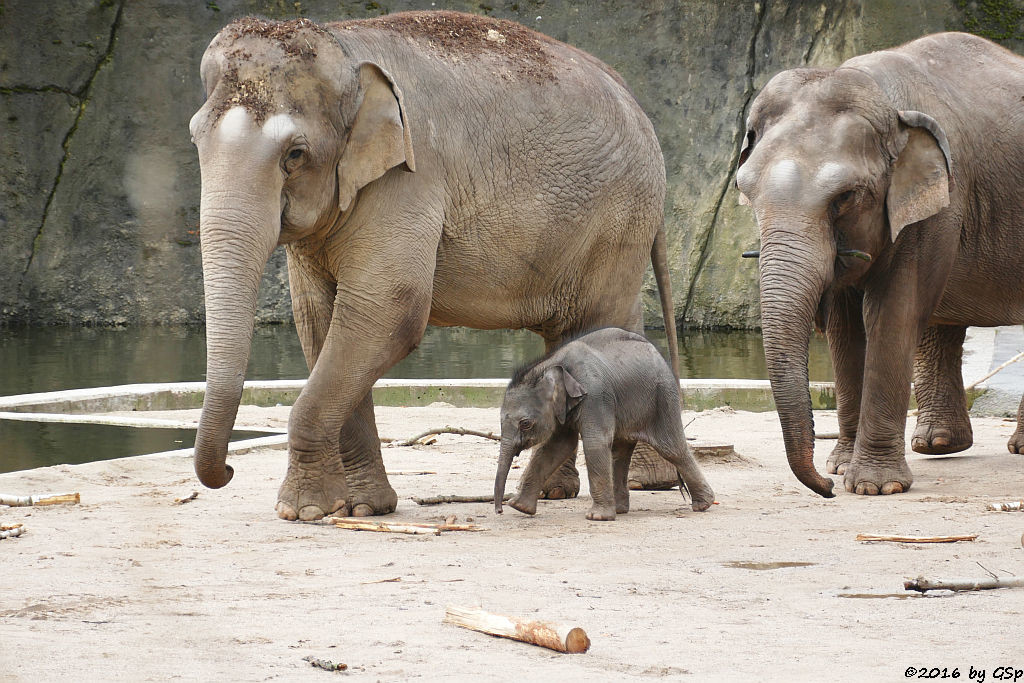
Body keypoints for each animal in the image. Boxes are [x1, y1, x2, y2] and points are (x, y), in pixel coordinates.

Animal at [189, 12, 679, 524]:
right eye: (194, 140)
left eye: (295, 154)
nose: (226, 470)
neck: (344, 44)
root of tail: (633, 98)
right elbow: (318, 319)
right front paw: (363, 508)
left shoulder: (409, 175)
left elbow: (387, 309)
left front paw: (302, 511)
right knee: (573, 332)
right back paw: (556, 492)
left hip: (619, 216)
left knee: (603, 319)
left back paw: (645, 483)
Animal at [493, 327, 712, 520]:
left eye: (526, 424)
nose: (499, 511)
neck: (552, 363)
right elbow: (558, 446)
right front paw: (519, 507)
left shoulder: (595, 395)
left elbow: (594, 442)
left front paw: (597, 517)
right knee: (619, 452)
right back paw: (621, 509)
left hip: (663, 397)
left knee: (672, 448)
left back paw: (704, 505)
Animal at [737, 31, 1024, 499]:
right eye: (745, 190)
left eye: (845, 196)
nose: (824, 489)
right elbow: (845, 325)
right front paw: (840, 468)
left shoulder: (941, 202)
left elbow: (892, 313)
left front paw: (875, 486)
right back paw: (938, 445)